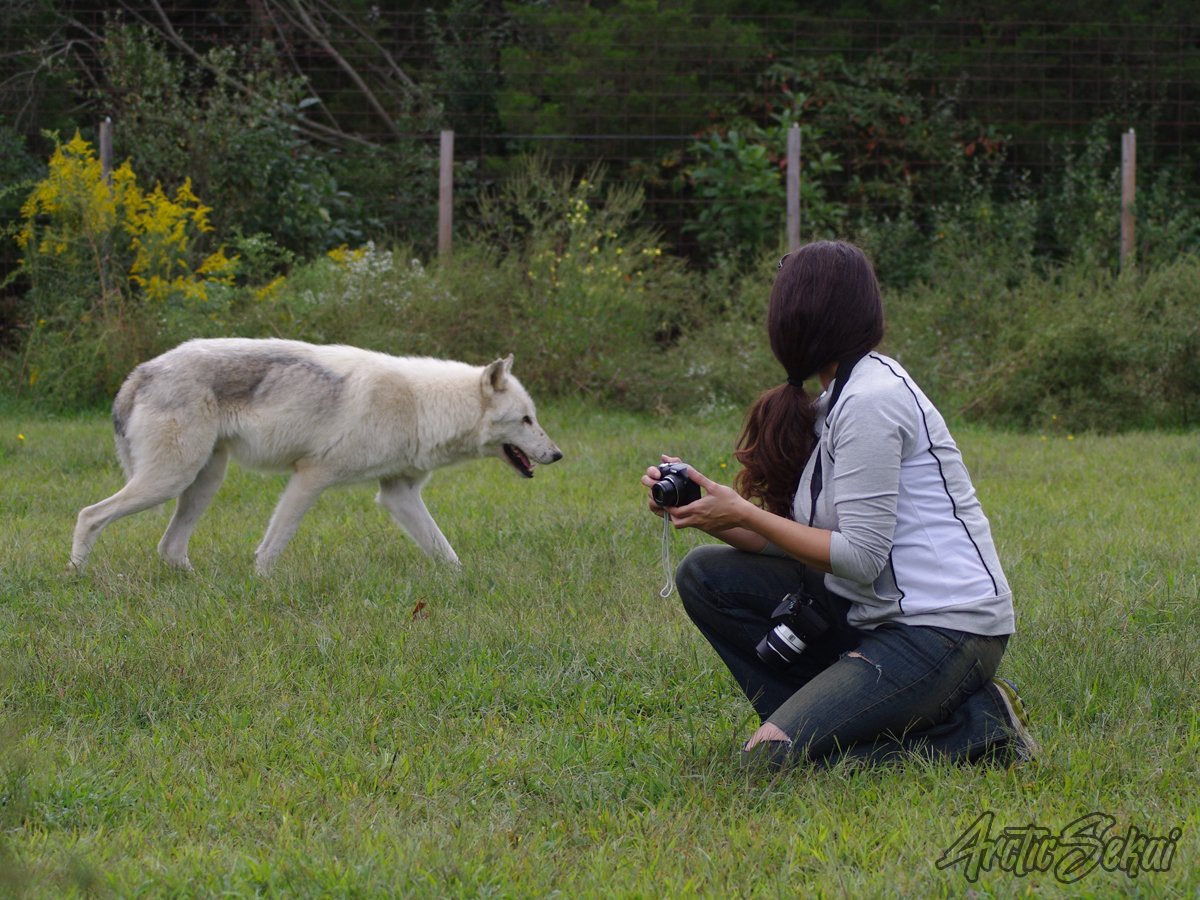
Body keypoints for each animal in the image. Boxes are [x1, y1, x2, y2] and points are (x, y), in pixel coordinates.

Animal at [70, 338, 563, 574]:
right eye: (526, 420)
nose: (557, 454)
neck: (422, 406)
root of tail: (141, 372)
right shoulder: (310, 478)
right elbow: (271, 548)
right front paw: (261, 586)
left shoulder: (398, 496)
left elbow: (446, 552)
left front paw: (467, 584)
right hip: (169, 481)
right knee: (89, 515)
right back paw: (76, 577)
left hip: (202, 484)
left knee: (169, 548)